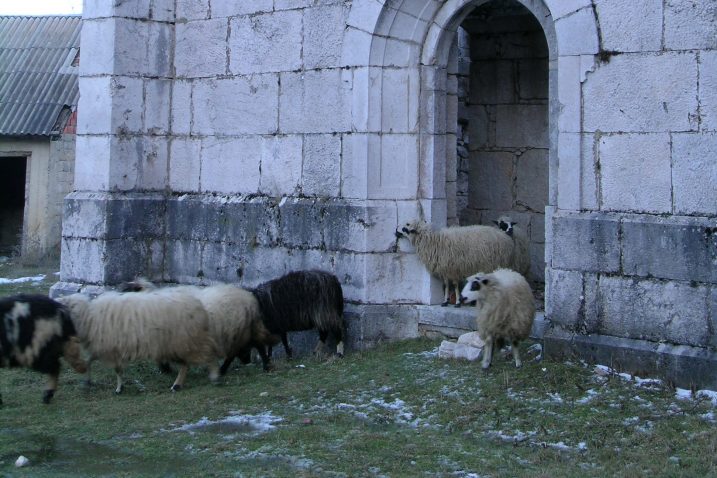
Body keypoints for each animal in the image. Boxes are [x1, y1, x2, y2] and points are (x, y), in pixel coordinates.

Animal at [58, 288, 220, 392]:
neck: (89, 317)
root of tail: (199, 306)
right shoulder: (105, 347)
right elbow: (90, 361)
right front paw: (87, 380)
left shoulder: (111, 348)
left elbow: (116, 369)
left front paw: (118, 388)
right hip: (180, 343)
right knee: (186, 363)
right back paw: (177, 384)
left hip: (186, 341)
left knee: (207, 354)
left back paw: (213, 376)